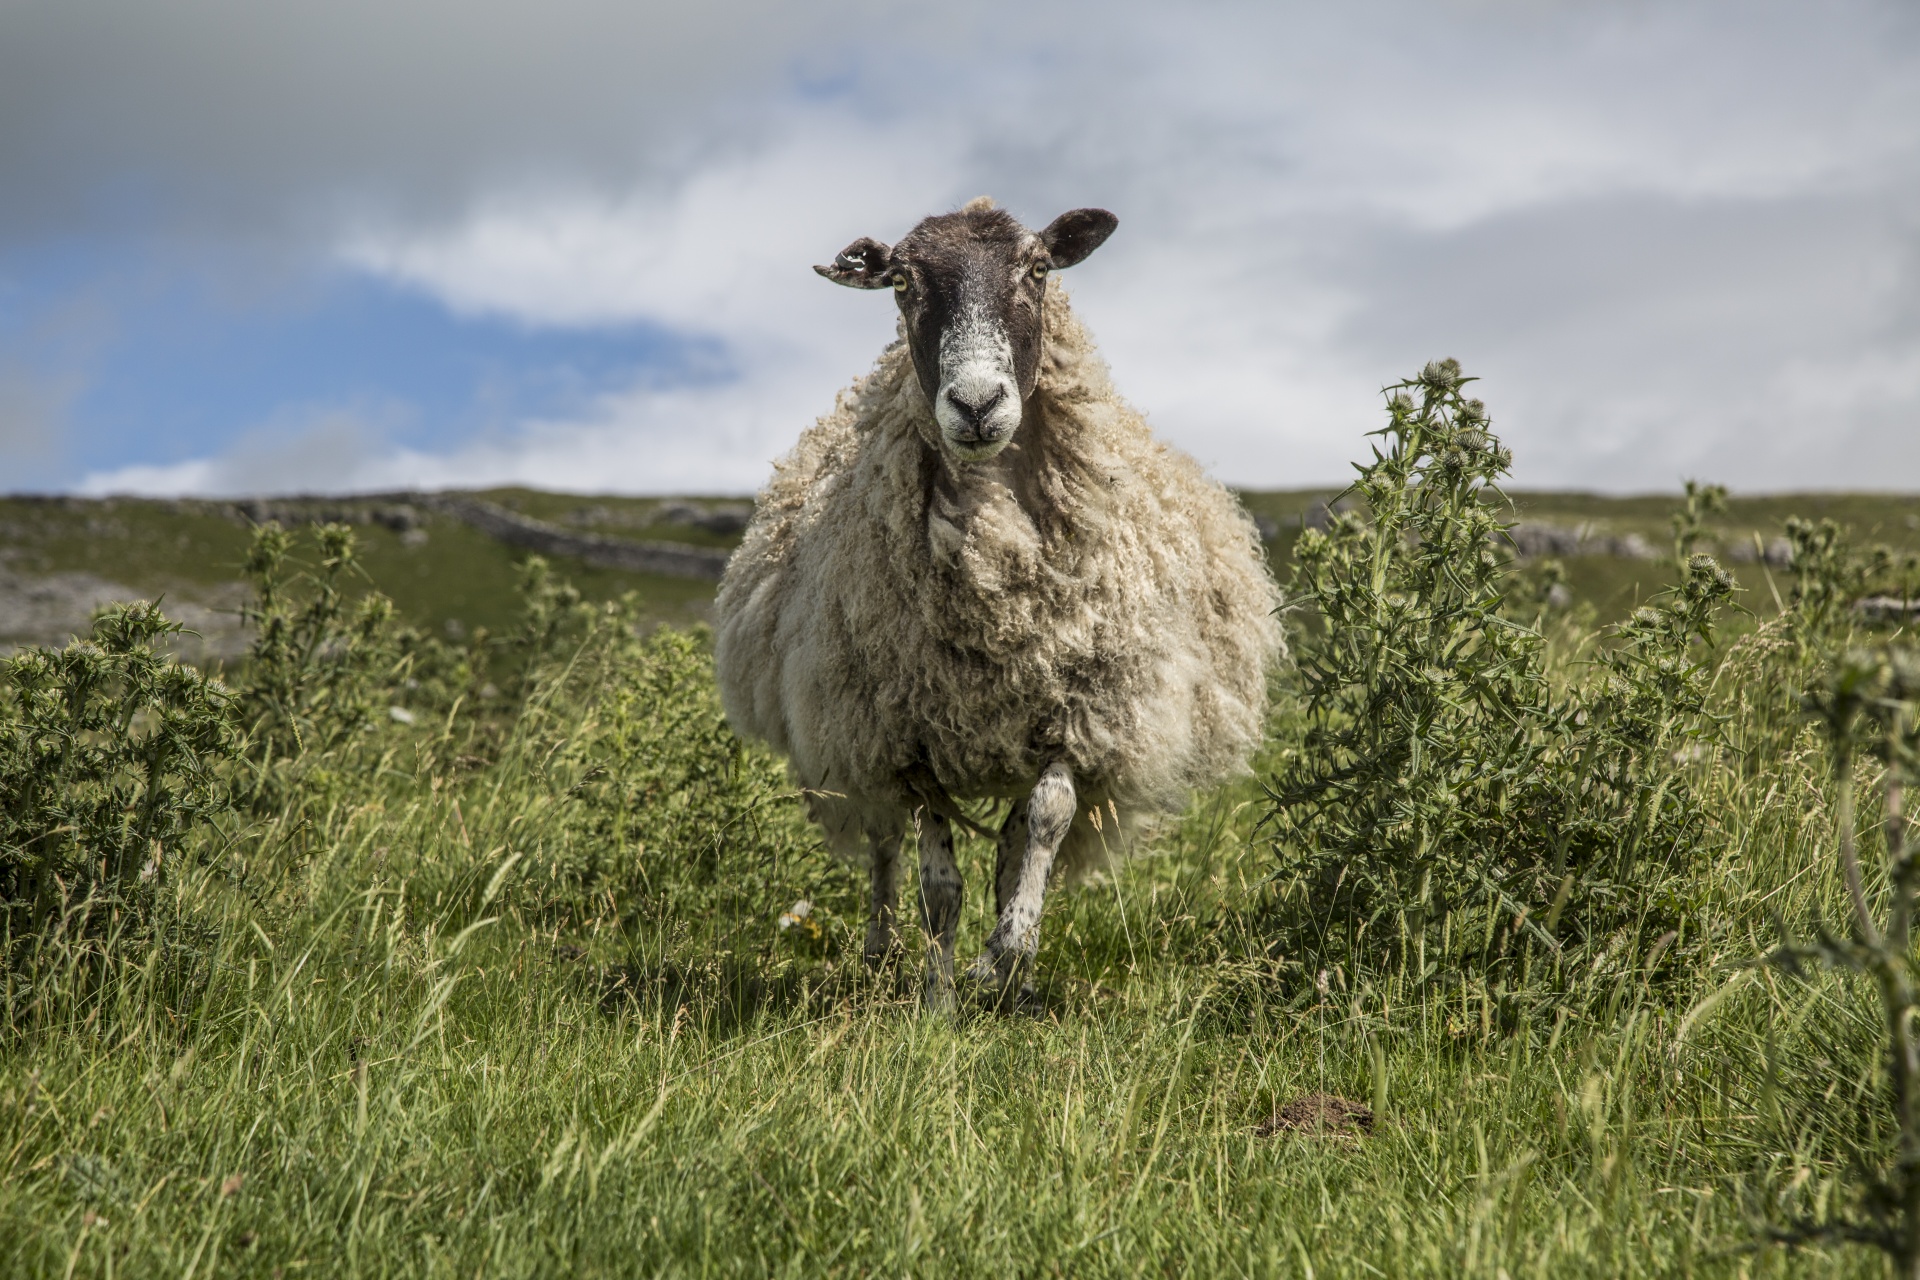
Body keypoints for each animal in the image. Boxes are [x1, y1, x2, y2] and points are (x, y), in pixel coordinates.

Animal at [714, 197, 1282, 1013]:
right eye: (902, 283)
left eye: (1037, 269)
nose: (976, 403)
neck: (995, 569)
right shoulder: (904, 735)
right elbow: (938, 883)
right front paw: (938, 997)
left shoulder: (1082, 713)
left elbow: (1041, 828)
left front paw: (1006, 961)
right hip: (849, 729)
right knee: (884, 844)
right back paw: (881, 952)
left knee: (1010, 843)